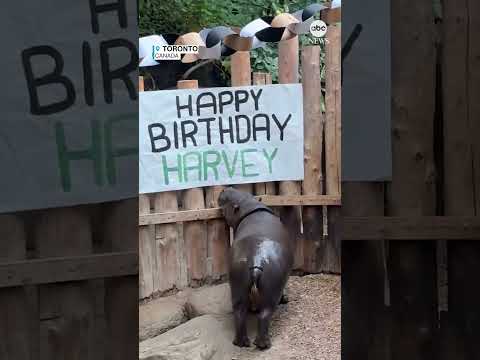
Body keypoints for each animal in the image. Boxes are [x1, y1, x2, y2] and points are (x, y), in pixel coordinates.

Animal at [217, 187, 292, 350]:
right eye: (228, 199)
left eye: (240, 191)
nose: (225, 187)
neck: (249, 206)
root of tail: (255, 258)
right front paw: (286, 299)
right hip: (271, 293)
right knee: (264, 314)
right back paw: (263, 345)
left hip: (237, 282)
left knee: (239, 312)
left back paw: (240, 343)